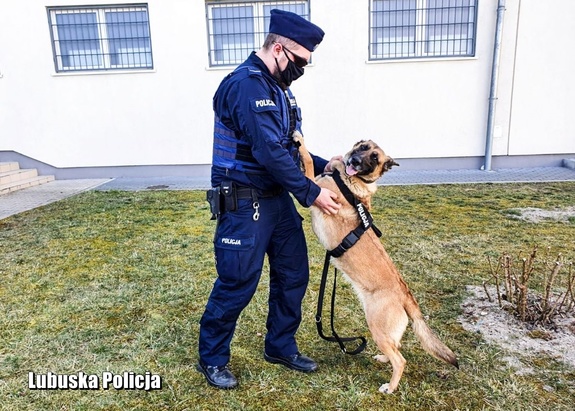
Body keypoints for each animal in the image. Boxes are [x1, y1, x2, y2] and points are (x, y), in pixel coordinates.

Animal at [296, 134, 460, 394]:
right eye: (363, 147)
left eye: (374, 158)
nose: (354, 161)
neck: (352, 182)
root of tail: (405, 295)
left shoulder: (314, 190)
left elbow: (309, 161)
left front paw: (300, 141)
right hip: (384, 332)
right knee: (396, 347)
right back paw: (384, 358)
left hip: (376, 326)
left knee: (400, 359)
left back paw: (390, 387)